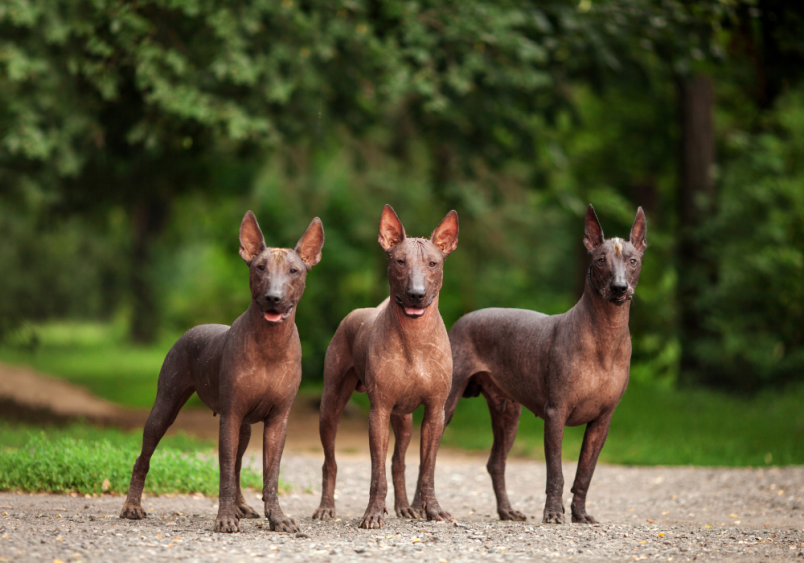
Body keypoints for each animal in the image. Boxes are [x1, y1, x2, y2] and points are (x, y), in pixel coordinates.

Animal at [118, 210, 324, 532]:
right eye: (260, 267)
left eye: (294, 271)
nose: (273, 297)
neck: (270, 344)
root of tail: (193, 329)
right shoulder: (230, 416)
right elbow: (225, 470)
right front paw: (225, 517)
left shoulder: (278, 421)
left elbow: (270, 475)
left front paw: (277, 518)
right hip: (165, 407)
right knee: (144, 456)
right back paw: (132, 506)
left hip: (245, 428)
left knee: (239, 465)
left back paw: (241, 506)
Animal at [312, 206, 458, 528]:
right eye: (400, 261)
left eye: (433, 263)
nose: (416, 293)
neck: (415, 337)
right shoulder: (377, 412)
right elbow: (376, 473)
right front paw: (373, 513)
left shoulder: (435, 412)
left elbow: (426, 469)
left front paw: (432, 509)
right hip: (330, 406)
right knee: (330, 462)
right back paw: (326, 507)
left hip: (403, 420)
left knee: (398, 462)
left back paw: (404, 507)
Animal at [442, 206, 644, 524]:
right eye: (601, 261)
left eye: (632, 261)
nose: (619, 288)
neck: (605, 335)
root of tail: (462, 320)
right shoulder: (555, 413)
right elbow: (556, 473)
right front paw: (553, 513)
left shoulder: (602, 421)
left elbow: (585, 474)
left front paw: (580, 515)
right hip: (447, 405)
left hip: (508, 414)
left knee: (495, 463)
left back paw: (506, 511)